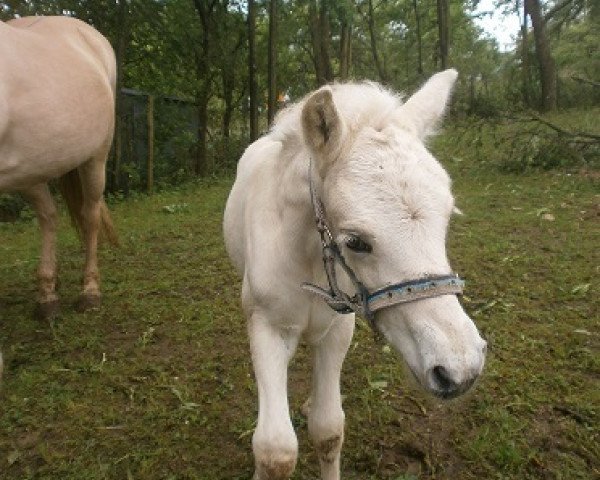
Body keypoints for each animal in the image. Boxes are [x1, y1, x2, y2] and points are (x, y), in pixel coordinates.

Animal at [0, 15, 118, 318]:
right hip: (32, 169)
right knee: (49, 216)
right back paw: (48, 293)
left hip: (95, 158)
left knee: (89, 216)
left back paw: (89, 291)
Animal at [224, 69, 488, 478]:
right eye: (356, 242)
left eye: (447, 218)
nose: (460, 369)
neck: (311, 261)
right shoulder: (267, 326)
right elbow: (275, 451)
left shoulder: (338, 327)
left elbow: (328, 429)